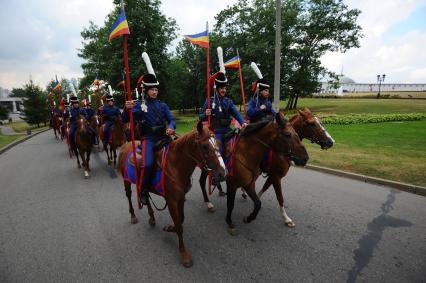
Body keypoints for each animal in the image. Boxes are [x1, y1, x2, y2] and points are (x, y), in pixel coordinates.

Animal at [115, 122, 228, 268]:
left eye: (218, 143)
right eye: (204, 146)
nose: (222, 173)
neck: (175, 166)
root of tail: (126, 145)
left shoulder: (181, 198)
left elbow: (181, 219)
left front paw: (170, 228)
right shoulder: (172, 201)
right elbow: (179, 226)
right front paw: (184, 254)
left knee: (144, 194)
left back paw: (151, 217)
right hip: (126, 180)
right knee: (129, 196)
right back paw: (133, 216)